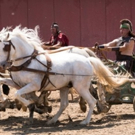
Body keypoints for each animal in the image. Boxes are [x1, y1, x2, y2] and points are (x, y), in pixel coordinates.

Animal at [0, 25, 130, 125]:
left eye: (5, 47)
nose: (2, 64)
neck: (27, 62)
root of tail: (87, 60)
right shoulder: (18, 83)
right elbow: (11, 88)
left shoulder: (34, 85)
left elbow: (18, 94)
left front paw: (32, 105)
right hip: (65, 87)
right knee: (64, 104)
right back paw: (52, 120)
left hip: (80, 87)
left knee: (92, 100)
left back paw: (85, 121)